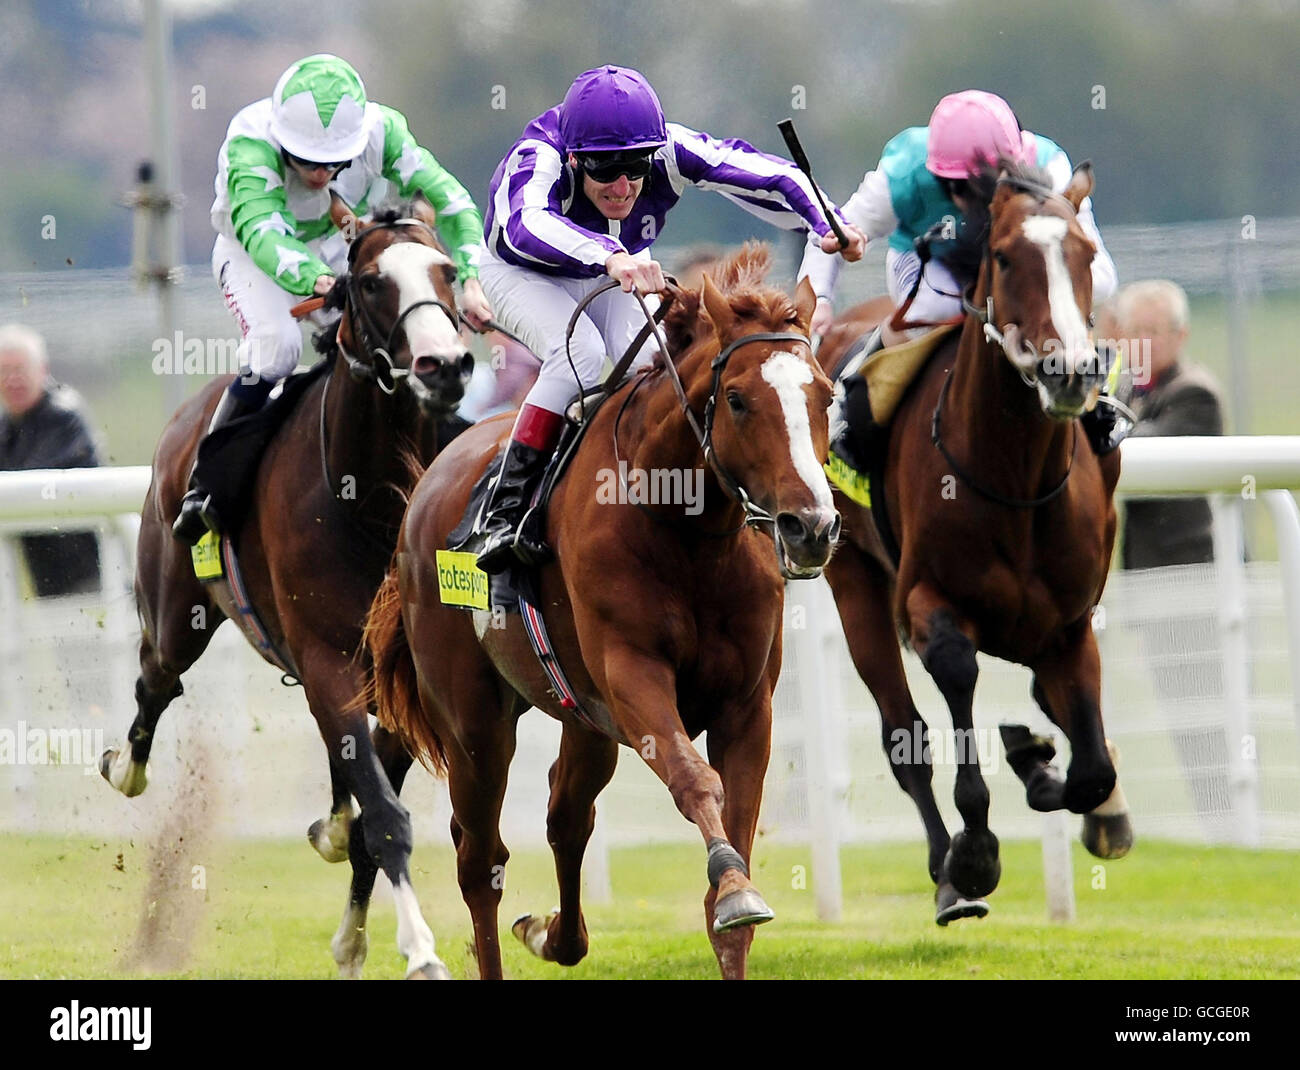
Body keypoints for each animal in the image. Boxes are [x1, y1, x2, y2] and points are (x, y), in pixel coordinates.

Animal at [98, 209, 473, 977]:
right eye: (371, 282)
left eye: (448, 270)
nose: (444, 366)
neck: (370, 504)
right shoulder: (327, 661)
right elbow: (383, 816)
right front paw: (420, 950)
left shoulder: (398, 678)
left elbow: (367, 812)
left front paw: (354, 936)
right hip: (178, 608)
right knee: (156, 678)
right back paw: (124, 766)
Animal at [364, 244, 842, 977]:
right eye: (736, 399)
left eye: (825, 395)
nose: (811, 526)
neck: (685, 530)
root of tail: (426, 487)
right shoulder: (633, 675)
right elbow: (694, 780)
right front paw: (734, 885)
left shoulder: (747, 706)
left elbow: (730, 876)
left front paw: (732, 896)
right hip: (474, 726)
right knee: (480, 860)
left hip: (583, 720)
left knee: (566, 815)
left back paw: (552, 933)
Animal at [821, 163, 1128, 925]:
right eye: (1005, 257)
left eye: (1085, 254)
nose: (1069, 371)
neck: (1013, 479)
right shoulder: (928, 600)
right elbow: (956, 679)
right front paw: (975, 854)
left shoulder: (1070, 626)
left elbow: (1091, 766)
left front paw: (1039, 763)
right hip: (854, 584)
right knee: (904, 736)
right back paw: (948, 872)